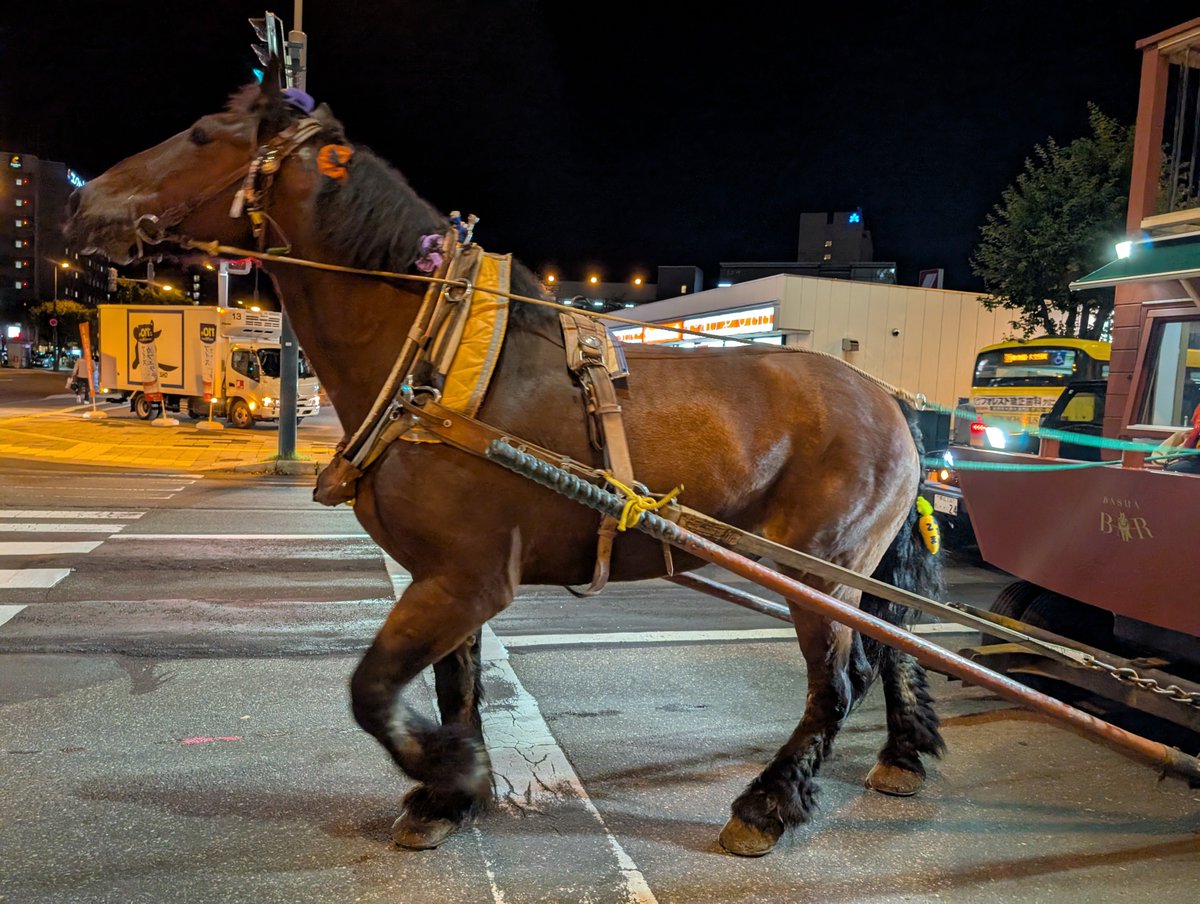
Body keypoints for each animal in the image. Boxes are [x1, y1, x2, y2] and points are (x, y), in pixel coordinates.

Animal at [65, 72, 946, 857]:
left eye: (201, 136)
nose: (82, 203)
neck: (434, 356)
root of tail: (891, 398)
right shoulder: (444, 575)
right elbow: (452, 684)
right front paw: (451, 795)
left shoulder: (467, 576)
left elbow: (371, 689)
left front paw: (449, 774)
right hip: (854, 571)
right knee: (893, 644)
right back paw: (901, 755)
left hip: (823, 568)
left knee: (839, 680)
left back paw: (768, 804)